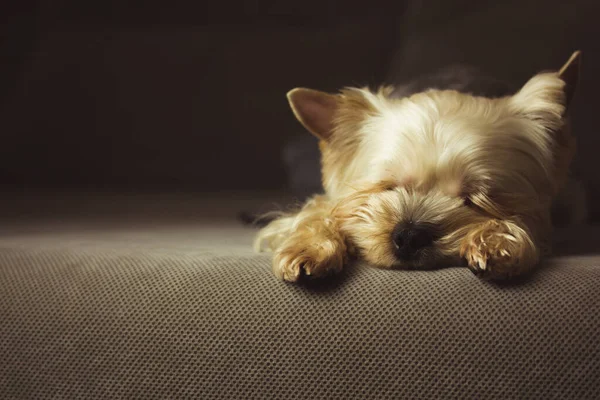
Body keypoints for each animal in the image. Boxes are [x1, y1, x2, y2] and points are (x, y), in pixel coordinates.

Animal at [252, 51, 580, 282]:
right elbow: (318, 212)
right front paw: (309, 248)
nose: (409, 236)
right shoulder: (327, 200)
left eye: (477, 200)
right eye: (385, 187)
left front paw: (496, 242)